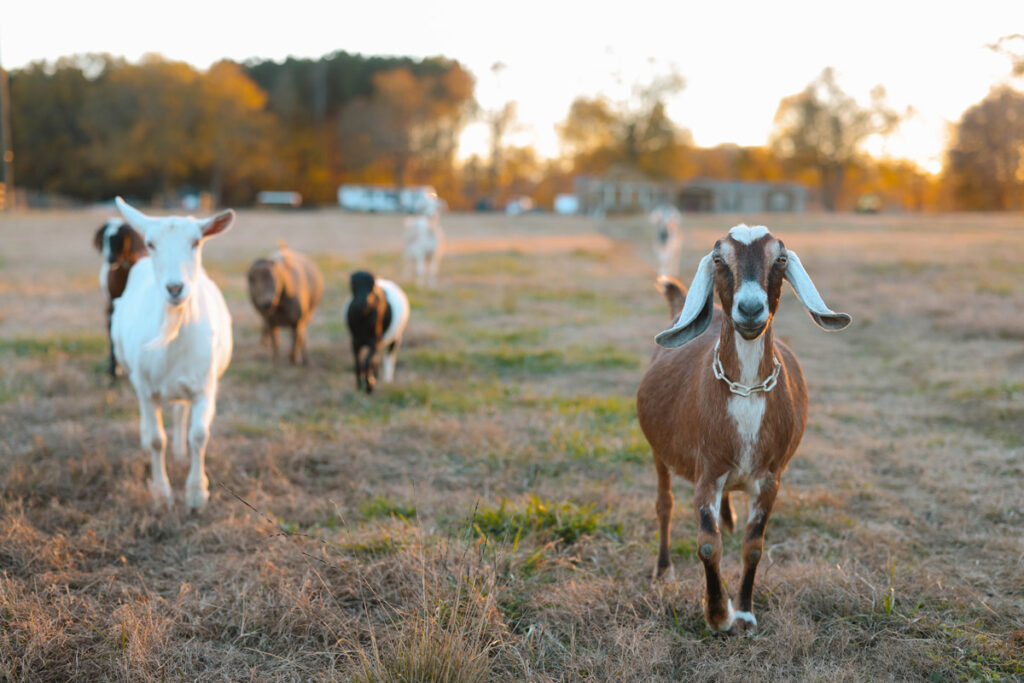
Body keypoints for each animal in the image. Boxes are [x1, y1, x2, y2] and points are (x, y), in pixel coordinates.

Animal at [111, 196, 234, 507]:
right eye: (151, 243)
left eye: (196, 242)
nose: (175, 288)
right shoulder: (145, 387)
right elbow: (157, 440)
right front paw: (161, 491)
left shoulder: (205, 385)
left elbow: (199, 435)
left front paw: (196, 494)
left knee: (180, 411)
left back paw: (180, 453)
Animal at [634, 224, 851, 634]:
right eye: (720, 259)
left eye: (779, 259)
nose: (750, 309)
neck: (746, 390)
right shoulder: (706, 471)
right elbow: (707, 543)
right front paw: (719, 614)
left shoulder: (771, 478)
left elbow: (754, 546)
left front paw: (746, 614)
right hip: (658, 452)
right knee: (664, 504)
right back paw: (664, 569)